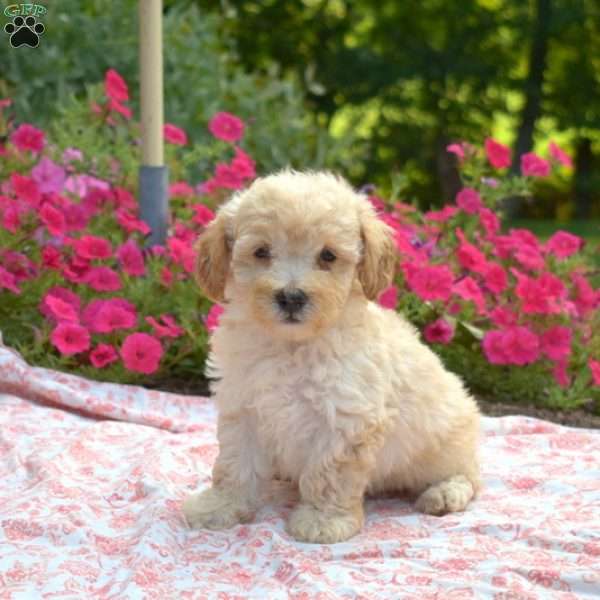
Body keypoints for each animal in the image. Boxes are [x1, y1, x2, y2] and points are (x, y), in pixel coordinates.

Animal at [180, 170, 480, 544]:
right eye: (261, 251)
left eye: (328, 256)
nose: (291, 297)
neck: (292, 346)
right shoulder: (243, 406)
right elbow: (234, 465)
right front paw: (219, 506)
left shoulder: (346, 418)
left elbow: (330, 475)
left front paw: (323, 521)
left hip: (448, 444)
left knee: (469, 475)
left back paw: (444, 493)